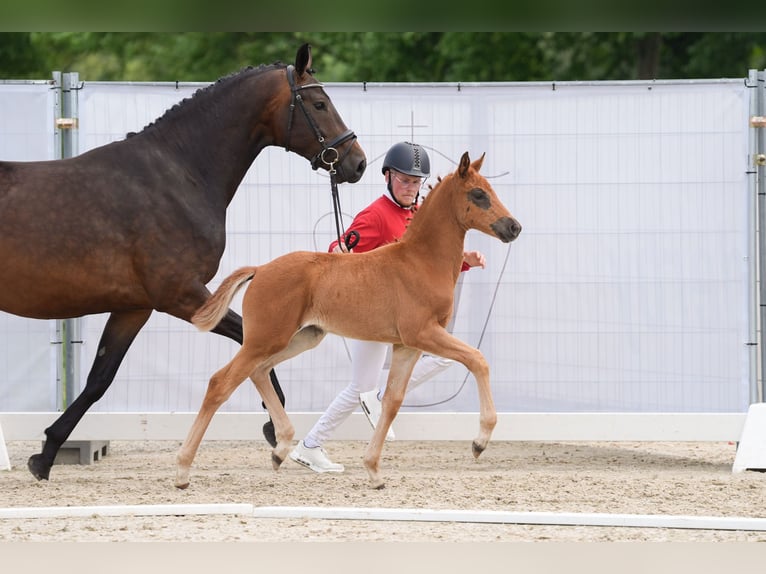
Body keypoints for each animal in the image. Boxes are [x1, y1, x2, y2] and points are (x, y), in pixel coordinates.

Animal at [0, 43, 367, 481]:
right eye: (319, 103)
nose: (357, 162)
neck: (178, 174)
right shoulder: (183, 296)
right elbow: (250, 343)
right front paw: (273, 430)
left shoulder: (135, 307)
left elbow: (98, 380)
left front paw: (48, 451)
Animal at [175, 151, 522, 490]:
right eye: (478, 194)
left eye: (491, 190)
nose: (514, 227)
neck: (420, 261)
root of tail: (260, 269)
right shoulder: (423, 333)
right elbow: (477, 360)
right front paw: (480, 442)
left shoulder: (406, 346)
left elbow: (393, 400)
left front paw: (374, 471)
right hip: (265, 339)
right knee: (221, 382)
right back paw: (182, 471)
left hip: (301, 337)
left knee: (258, 372)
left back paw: (281, 449)